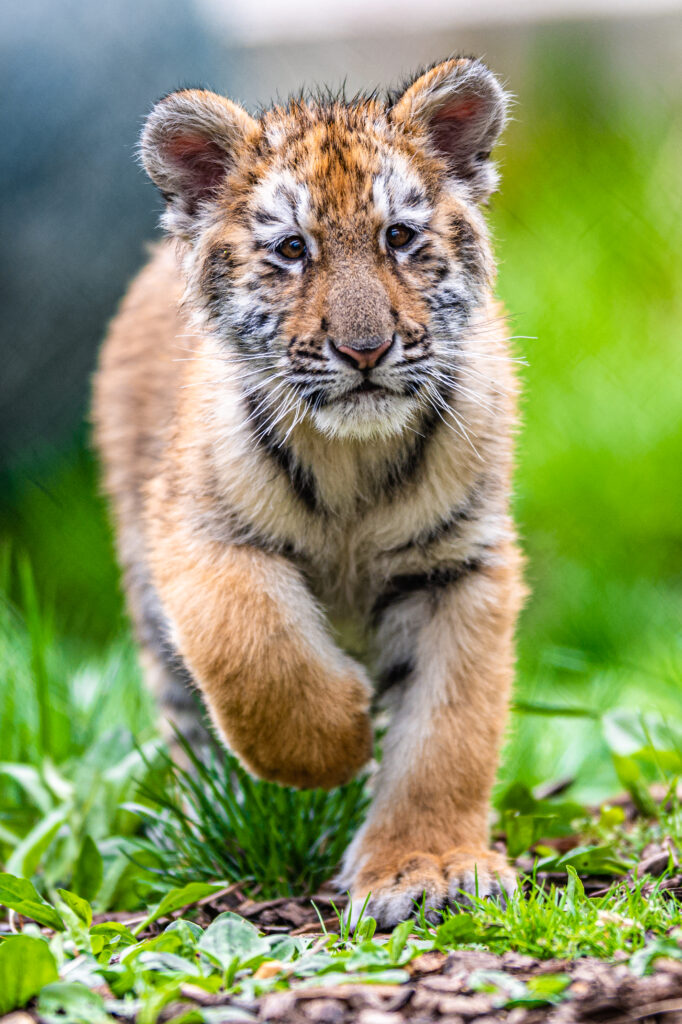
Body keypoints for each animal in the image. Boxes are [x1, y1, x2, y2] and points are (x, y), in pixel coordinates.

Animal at [92, 57, 525, 927]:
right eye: (293, 250)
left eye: (399, 237)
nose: (365, 349)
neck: (354, 460)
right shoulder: (198, 538)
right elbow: (257, 652)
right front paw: (338, 742)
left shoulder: (460, 566)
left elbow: (450, 728)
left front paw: (426, 869)